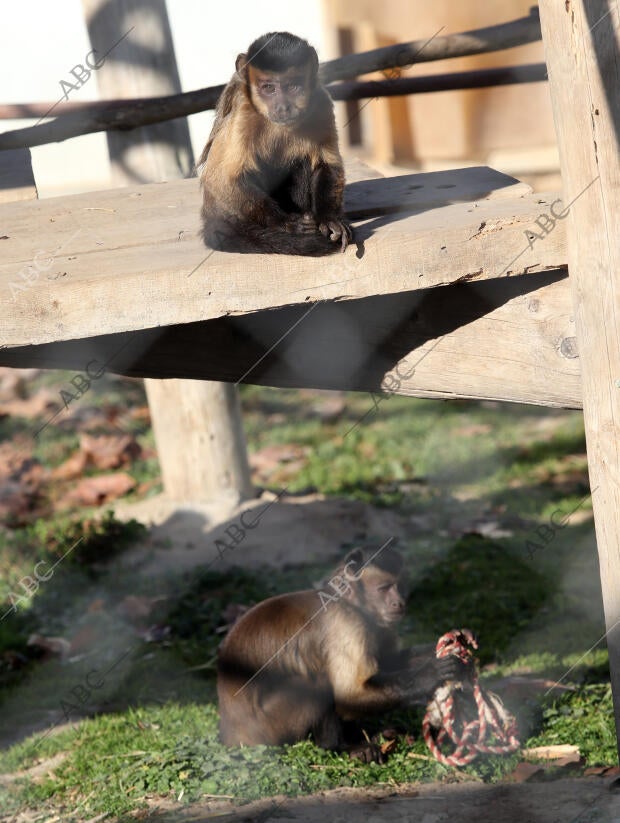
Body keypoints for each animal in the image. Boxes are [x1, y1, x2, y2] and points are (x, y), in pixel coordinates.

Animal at [199, 32, 354, 256]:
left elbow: (327, 164)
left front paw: (329, 219)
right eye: (269, 88)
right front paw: (287, 224)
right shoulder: (244, 111)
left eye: (293, 86)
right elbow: (221, 180)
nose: (282, 107)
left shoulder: (320, 101)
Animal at [216, 548, 462, 760]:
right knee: (319, 682)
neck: (348, 602)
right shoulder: (347, 623)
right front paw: (429, 675)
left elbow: (386, 664)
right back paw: (338, 747)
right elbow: (349, 693)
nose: (399, 602)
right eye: (384, 588)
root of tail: (231, 733)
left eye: (400, 586)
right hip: (268, 726)